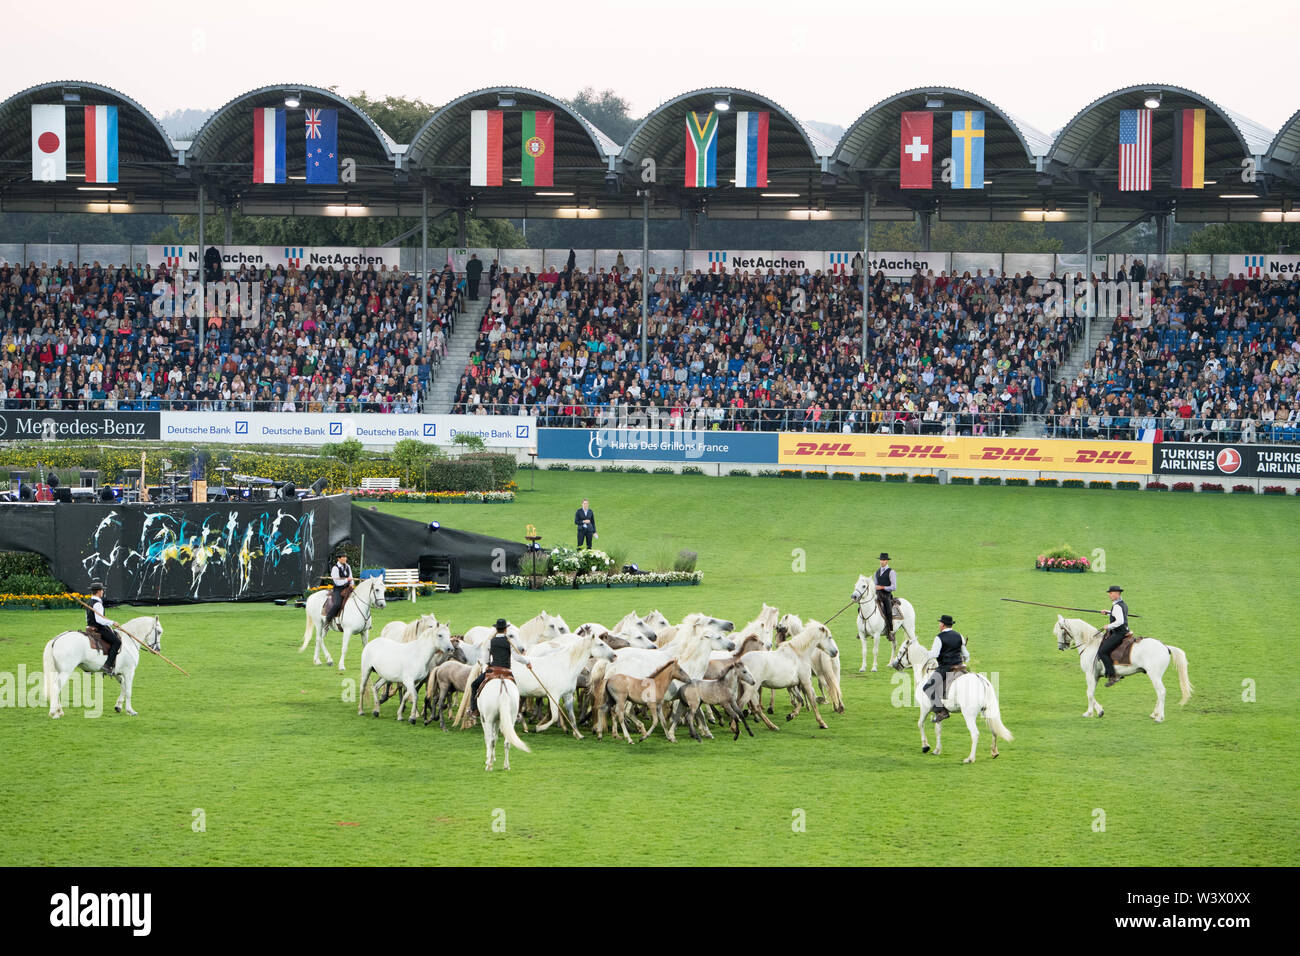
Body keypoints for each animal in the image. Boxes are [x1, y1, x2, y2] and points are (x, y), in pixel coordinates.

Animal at [889, 634, 1008, 764]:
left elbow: (920, 724)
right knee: (993, 730)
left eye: (901, 651)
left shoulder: (925, 708)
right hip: (987, 711)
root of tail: (981, 680)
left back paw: (970, 758)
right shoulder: (938, 712)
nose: (894, 664)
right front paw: (937, 750)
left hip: (968, 715)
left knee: (975, 733)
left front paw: (925, 746)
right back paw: (994, 752)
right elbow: (938, 730)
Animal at [1050, 616, 1190, 723]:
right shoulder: (1095, 675)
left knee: (1161, 692)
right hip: (1156, 676)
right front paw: (1100, 711)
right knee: (1159, 692)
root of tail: (1165, 647)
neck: (1090, 644)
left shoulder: (1089, 674)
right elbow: (1091, 692)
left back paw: (1159, 717)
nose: (1060, 647)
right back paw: (1154, 714)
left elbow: (1089, 693)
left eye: (1060, 631)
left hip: (1154, 675)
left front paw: (1088, 713)